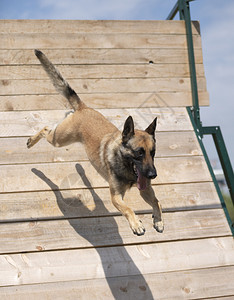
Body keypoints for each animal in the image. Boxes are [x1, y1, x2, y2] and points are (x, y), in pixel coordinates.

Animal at [26, 49, 164, 234]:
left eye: (153, 153)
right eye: (138, 153)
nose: (153, 175)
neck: (124, 164)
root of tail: (84, 108)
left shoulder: (145, 189)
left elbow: (157, 202)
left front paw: (158, 220)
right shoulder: (116, 196)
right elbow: (128, 209)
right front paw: (136, 224)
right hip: (60, 140)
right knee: (46, 129)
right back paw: (31, 142)